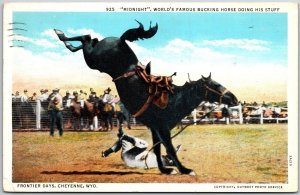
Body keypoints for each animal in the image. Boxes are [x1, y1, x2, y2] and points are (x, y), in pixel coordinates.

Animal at [54, 20, 239, 176]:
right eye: (216, 85)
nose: (235, 99)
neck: (174, 99)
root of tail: (121, 41)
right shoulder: (162, 129)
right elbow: (169, 148)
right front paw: (185, 170)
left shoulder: (155, 128)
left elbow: (158, 149)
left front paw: (165, 169)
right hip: (94, 60)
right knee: (86, 38)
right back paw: (61, 35)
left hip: (95, 59)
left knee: (91, 39)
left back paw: (67, 42)